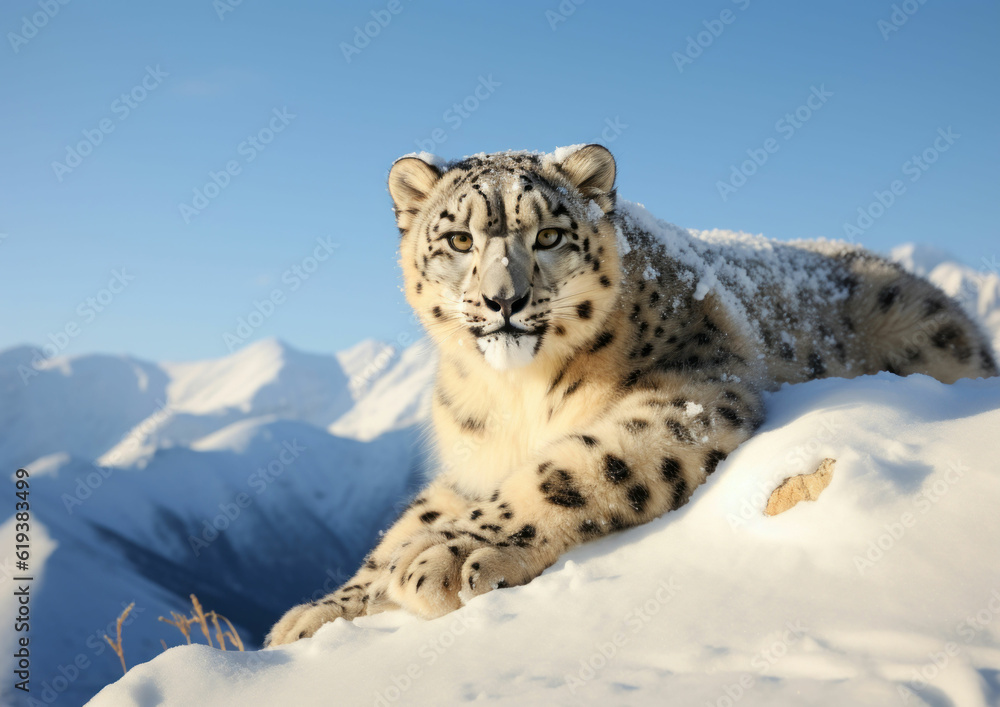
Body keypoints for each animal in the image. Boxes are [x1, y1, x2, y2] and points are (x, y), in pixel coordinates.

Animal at [266, 144, 997, 646]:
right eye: (457, 238)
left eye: (549, 234)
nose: (505, 300)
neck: (514, 398)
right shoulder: (470, 463)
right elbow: (400, 526)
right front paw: (315, 613)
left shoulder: (693, 392)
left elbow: (570, 468)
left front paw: (448, 554)